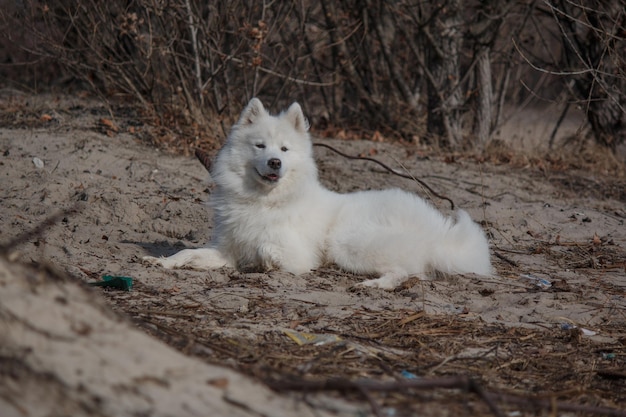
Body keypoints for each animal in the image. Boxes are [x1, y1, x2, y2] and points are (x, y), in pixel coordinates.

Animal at [144, 98, 490, 288]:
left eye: (284, 149)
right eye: (260, 146)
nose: (275, 162)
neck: (263, 200)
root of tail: (437, 229)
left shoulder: (295, 253)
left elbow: (268, 250)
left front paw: (263, 264)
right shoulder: (225, 250)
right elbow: (189, 253)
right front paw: (162, 262)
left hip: (347, 242)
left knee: (405, 272)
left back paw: (373, 285)